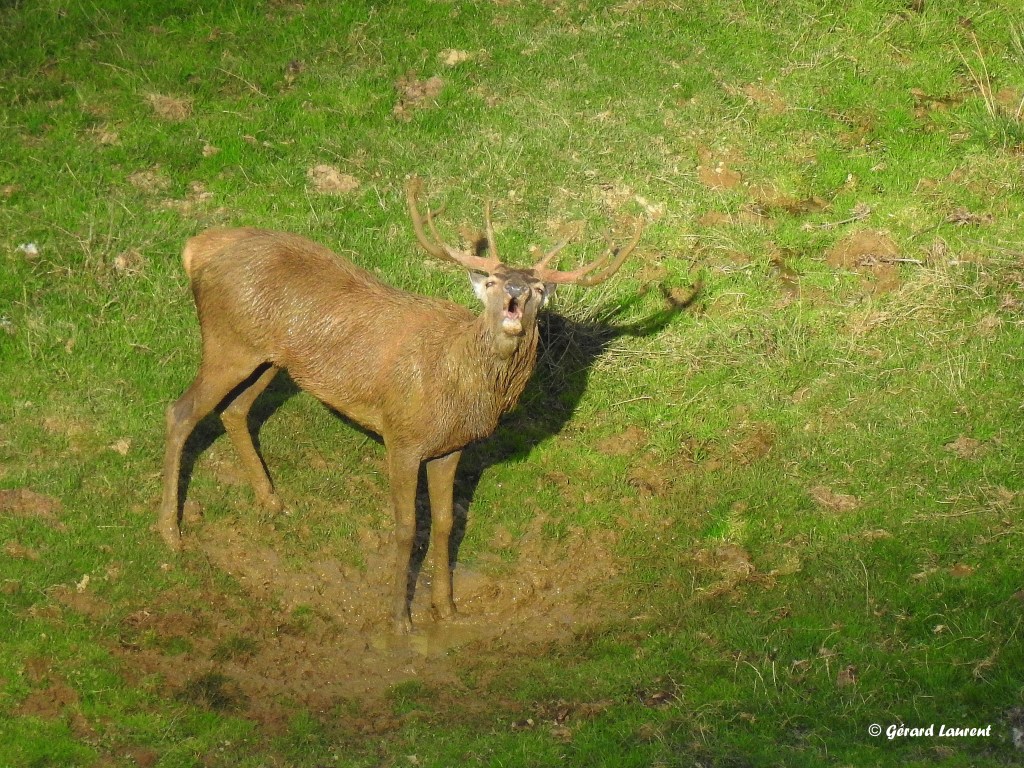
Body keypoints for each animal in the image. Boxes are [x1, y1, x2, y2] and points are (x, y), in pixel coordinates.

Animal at [158, 176, 643, 633]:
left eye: (540, 289)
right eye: (490, 281)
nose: (516, 291)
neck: (460, 384)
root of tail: (195, 248)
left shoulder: (451, 447)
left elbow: (446, 524)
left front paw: (446, 608)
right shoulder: (402, 436)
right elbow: (407, 528)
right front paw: (399, 619)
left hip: (268, 357)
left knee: (233, 410)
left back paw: (271, 501)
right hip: (228, 339)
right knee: (180, 412)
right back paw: (171, 533)